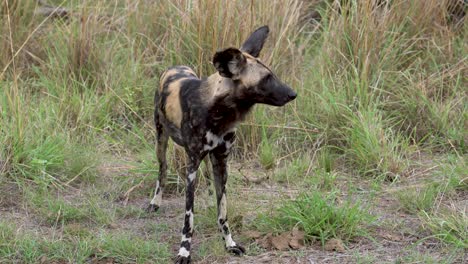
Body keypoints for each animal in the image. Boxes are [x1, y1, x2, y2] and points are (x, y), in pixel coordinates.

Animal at [148, 25, 298, 262]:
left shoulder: (221, 161)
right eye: (266, 78)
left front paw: (230, 244)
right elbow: (189, 219)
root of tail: (175, 67)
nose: (293, 94)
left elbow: (223, 212)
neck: (218, 113)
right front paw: (184, 250)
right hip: (161, 141)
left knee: (210, 181)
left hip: (209, 159)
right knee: (162, 170)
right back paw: (155, 202)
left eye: (272, 74)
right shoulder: (191, 167)